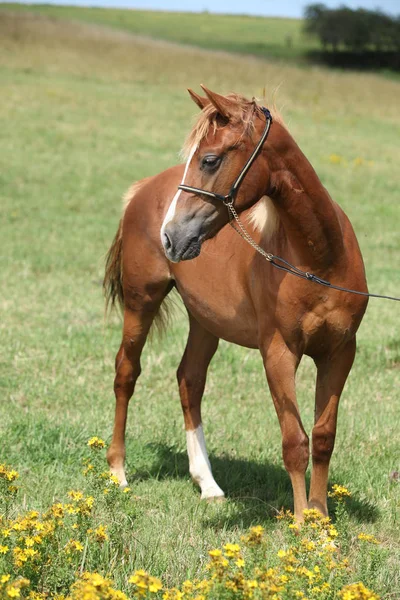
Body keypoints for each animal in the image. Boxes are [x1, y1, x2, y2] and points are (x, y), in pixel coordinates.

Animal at [104, 86, 368, 524]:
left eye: (209, 159)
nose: (171, 236)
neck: (318, 262)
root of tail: (143, 189)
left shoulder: (340, 352)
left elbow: (323, 436)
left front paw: (321, 520)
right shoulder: (278, 353)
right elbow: (294, 442)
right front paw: (301, 523)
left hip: (205, 321)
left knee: (189, 380)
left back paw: (208, 484)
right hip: (142, 301)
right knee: (127, 372)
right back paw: (118, 473)